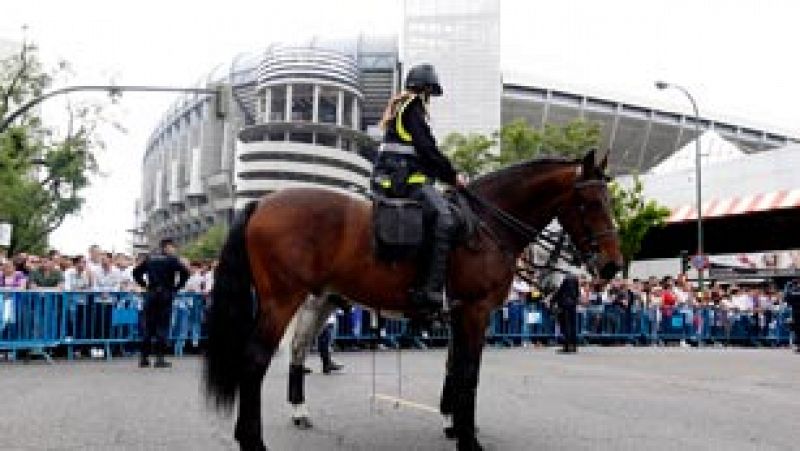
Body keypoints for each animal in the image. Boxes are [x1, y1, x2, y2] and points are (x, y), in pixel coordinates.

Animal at [203, 151, 620, 451]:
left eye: (609, 200)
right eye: (590, 202)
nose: (612, 265)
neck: (488, 225)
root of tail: (262, 202)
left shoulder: (459, 314)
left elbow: (455, 368)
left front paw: (453, 424)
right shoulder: (476, 311)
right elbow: (468, 372)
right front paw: (468, 439)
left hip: (315, 301)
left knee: (298, 350)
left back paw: (298, 412)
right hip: (282, 301)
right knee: (255, 360)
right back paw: (252, 440)